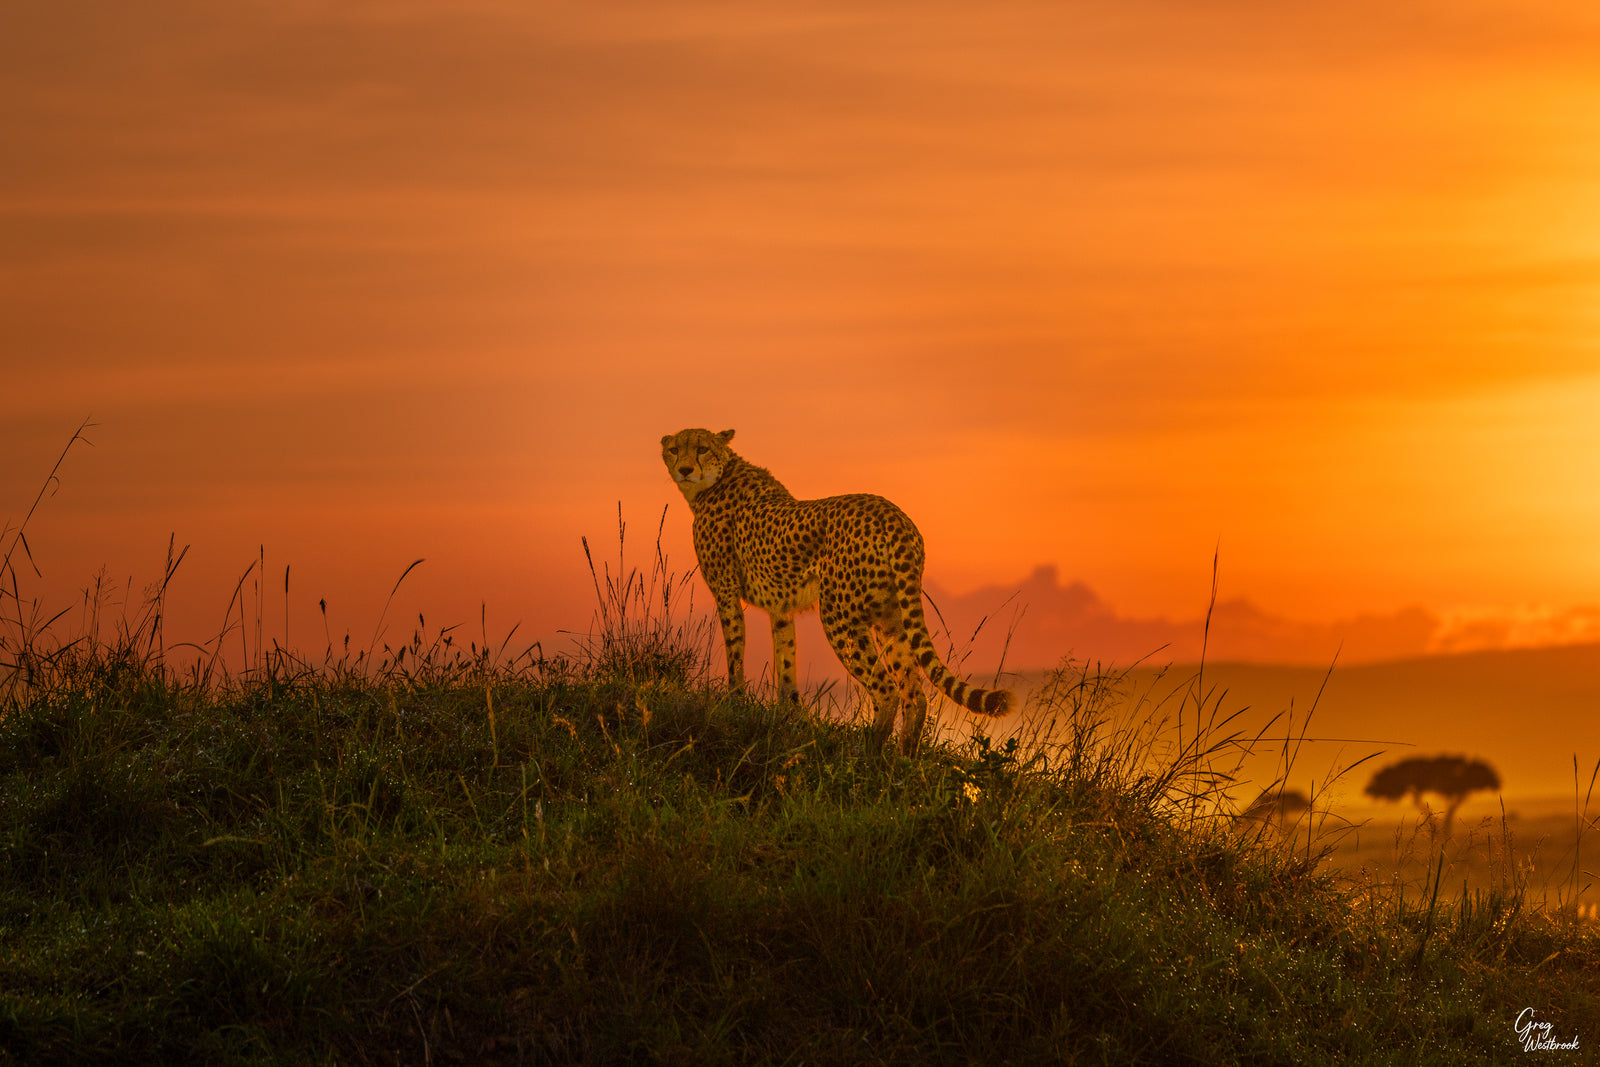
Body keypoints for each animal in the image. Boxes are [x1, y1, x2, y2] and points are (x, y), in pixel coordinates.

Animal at [661, 427, 1016, 754]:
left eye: (702, 448)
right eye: (675, 449)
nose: (685, 469)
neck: (718, 477)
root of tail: (892, 514)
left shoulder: (726, 593)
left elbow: (735, 652)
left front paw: (735, 703)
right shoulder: (781, 609)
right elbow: (786, 663)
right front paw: (791, 715)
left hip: (839, 618)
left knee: (886, 688)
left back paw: (870, 753)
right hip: (892, 621)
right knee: (914, 692)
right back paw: (904, 758)